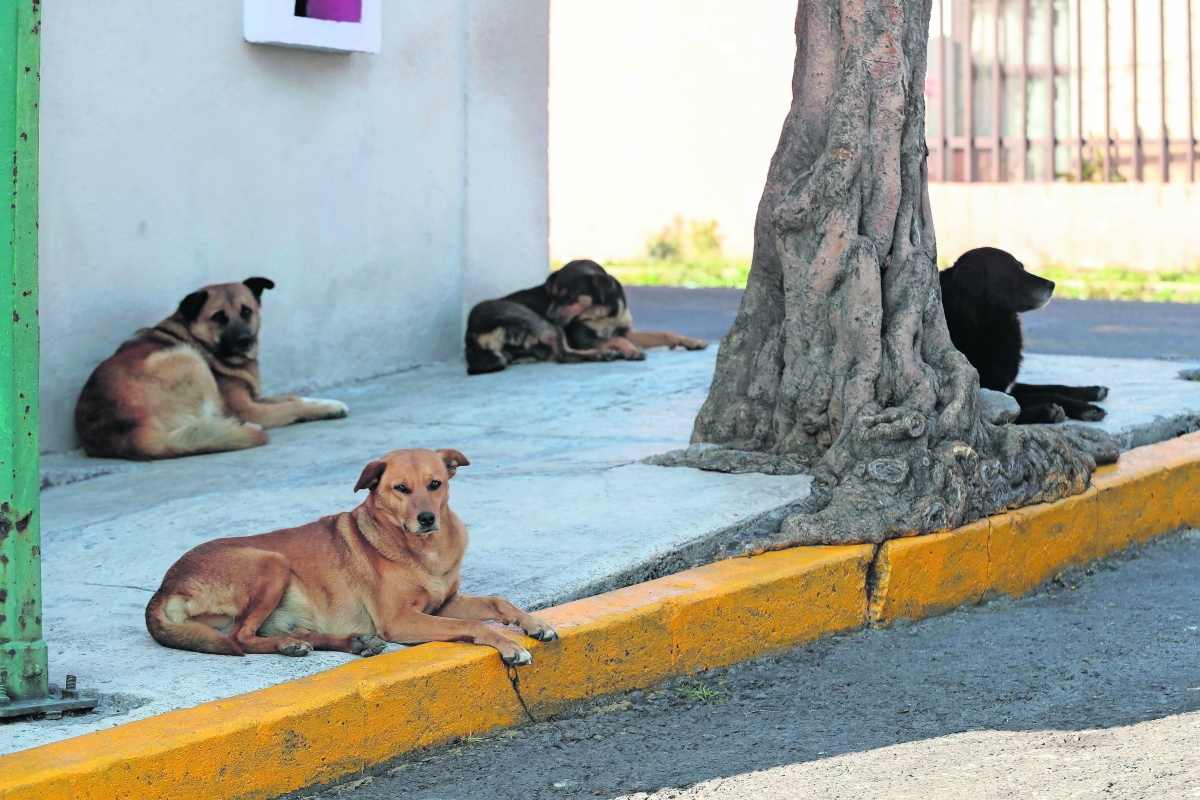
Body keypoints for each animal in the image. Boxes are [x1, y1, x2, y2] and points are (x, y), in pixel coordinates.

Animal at [75, 278, 350, 460]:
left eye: (246, 311)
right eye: (218, 317)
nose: (245, 341)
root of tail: (126, 434)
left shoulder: (253, 397)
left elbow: (293, 397)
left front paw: (329, 405)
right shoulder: (249, 407)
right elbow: (291, 406)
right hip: (190, 359)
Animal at [142, 450, 554, 662]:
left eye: (435, 484)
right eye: (401, 489)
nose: (427, 518)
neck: (423, 551)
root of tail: (164, 586)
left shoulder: (444, 602)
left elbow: (498, 602)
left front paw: (533, 624)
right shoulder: (399, 620)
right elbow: (474, 624)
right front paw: (509, 645)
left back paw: (348, 642)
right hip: (272, 563)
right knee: (241, 637)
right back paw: (298, 646)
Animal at [458, 261, 700, 376]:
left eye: (567, 298)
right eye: (552, 296)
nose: (550, 314)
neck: (604, 313)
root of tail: (469, 334)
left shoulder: (627, 329)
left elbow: (662, 333)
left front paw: (692, 341)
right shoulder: (584, 337)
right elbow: (619, 340)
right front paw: (631, 351)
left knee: (557, 355)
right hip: (538, 322)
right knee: (564, 355)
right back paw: (602, 354)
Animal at [945, 247, 1104, 424]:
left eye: (1022, 267)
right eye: (1013, 272)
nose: (1052, 284)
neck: (976, 318)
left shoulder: (1009, 385)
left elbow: (1054, 387)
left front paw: (1093, 390)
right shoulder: (989, 388)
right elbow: (1047, 395)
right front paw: (1085, 408)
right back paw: (1046, 412)